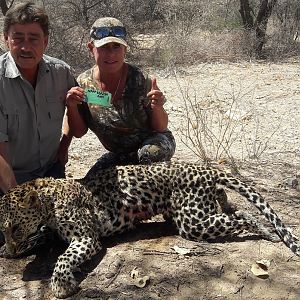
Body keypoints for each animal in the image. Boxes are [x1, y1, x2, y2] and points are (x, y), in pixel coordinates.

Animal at [0, 163, 298, 298]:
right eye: (5, 230)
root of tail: (205, 167)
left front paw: (62, 285)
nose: (10, 243)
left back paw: (266, 231)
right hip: (197, 212)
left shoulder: (87, 237)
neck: (48, 201)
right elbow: (39, 238)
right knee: (229, 205)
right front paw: (8, 250)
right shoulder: (49, 231)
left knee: (241, 217)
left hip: (193, 222)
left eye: (14, 227)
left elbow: (63, 258)